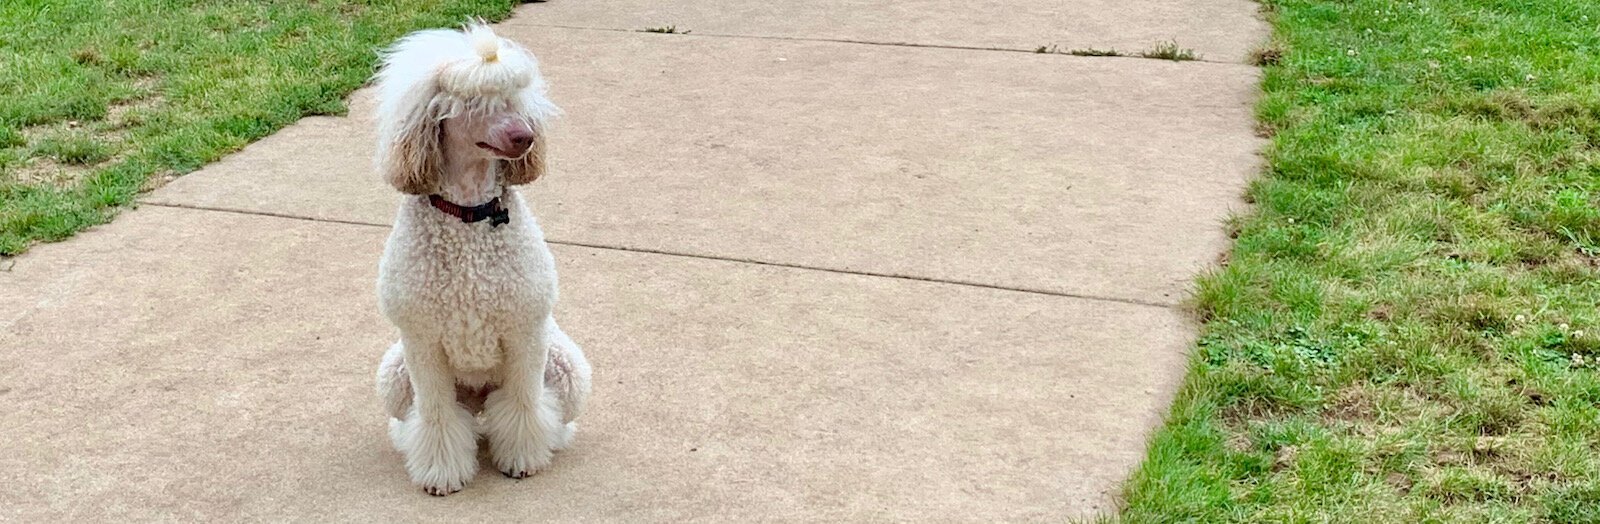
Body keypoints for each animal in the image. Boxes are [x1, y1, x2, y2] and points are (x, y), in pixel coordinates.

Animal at [369, 23, 595, 495]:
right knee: (420, 416)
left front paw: (523, 458)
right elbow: (436, 417)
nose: (524, 136)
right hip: (395, 373)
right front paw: (440, 472)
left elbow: (525, 404)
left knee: (551, 411)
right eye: (473, 103)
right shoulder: (422, 342)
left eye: (513, 99)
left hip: (566, 365)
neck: (470, 213)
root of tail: (477, 404)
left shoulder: (525, 332)